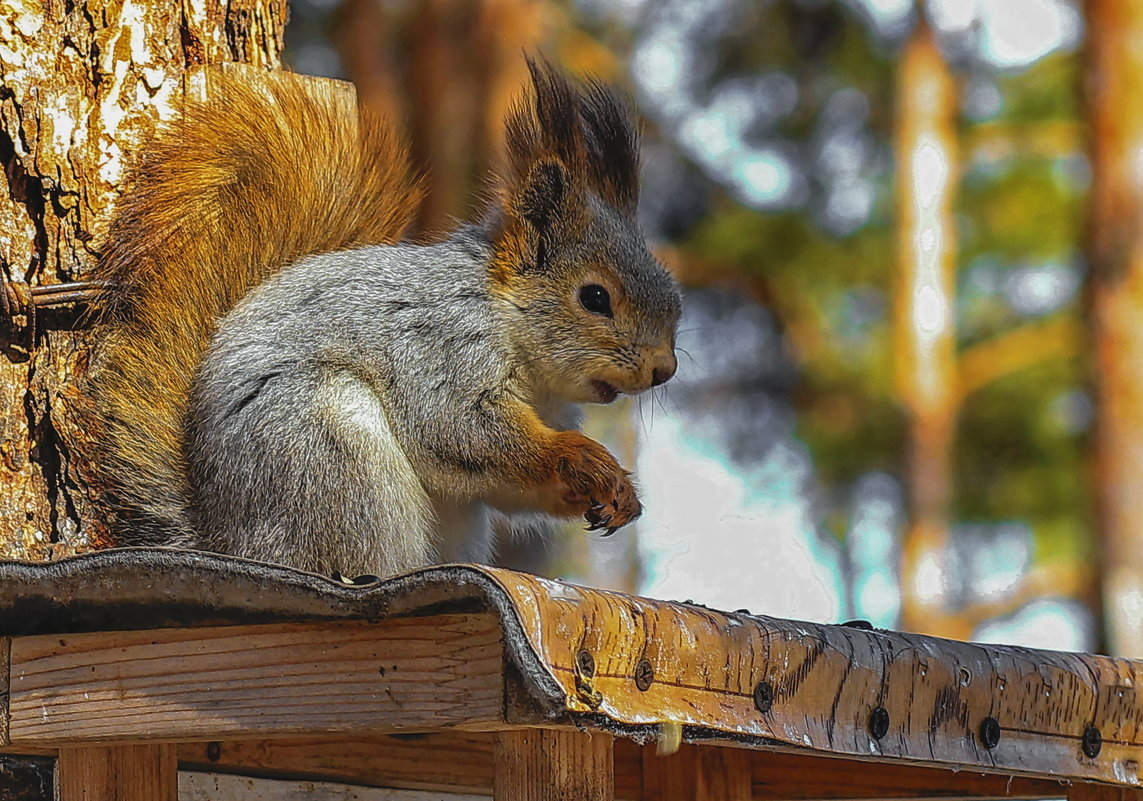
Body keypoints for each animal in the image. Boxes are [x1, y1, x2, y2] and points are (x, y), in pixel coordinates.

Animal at [91, 60, 676, 575]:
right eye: (594, 297)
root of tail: (230, 543)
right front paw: (583, 459)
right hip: (328, 452)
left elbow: (507, 485)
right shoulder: (441, 350)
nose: (663, 369)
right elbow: (461, 428)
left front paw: (619, 493)